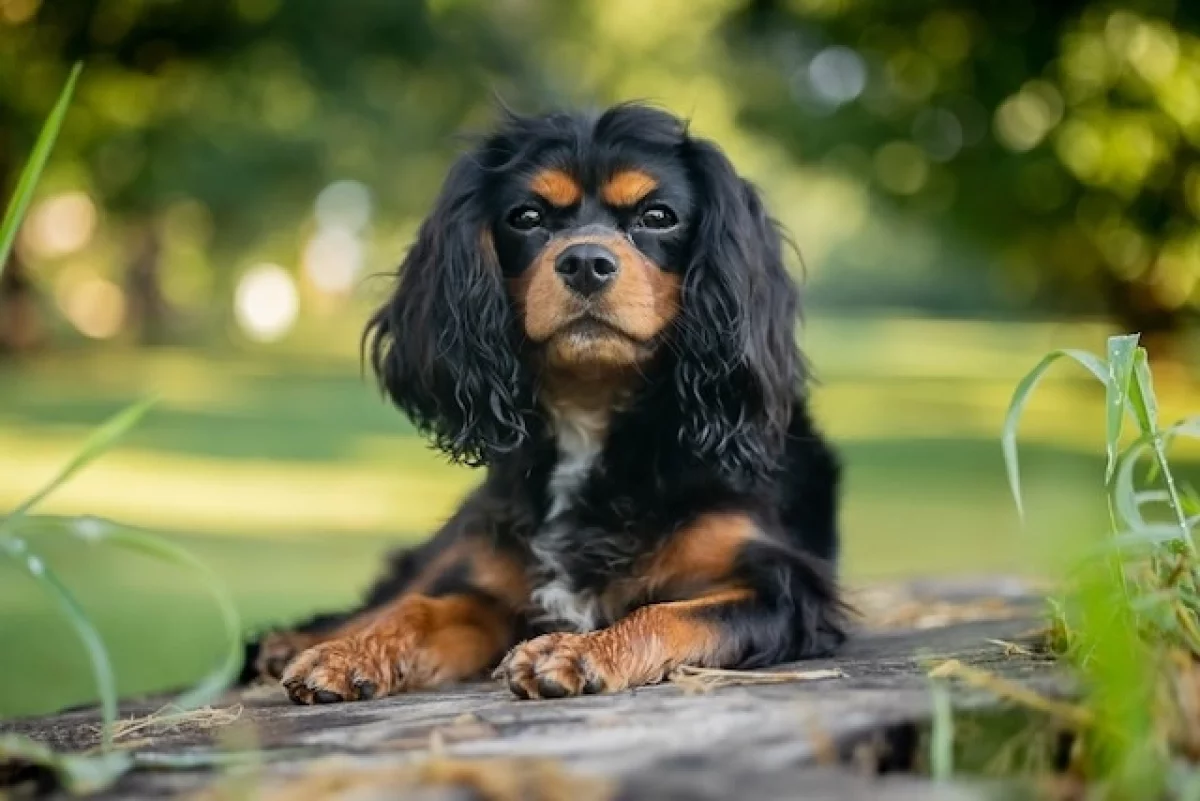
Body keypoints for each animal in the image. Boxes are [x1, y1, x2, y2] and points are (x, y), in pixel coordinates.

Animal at [243, 103, 844, 705]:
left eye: (658, 216)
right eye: (527, 217)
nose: (585, 262)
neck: (591, 415)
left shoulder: (784, 591)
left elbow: (667, 613)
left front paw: (579, 651)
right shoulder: (493, 590)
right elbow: (421, 609)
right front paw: (347, 655)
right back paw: (298, 642)